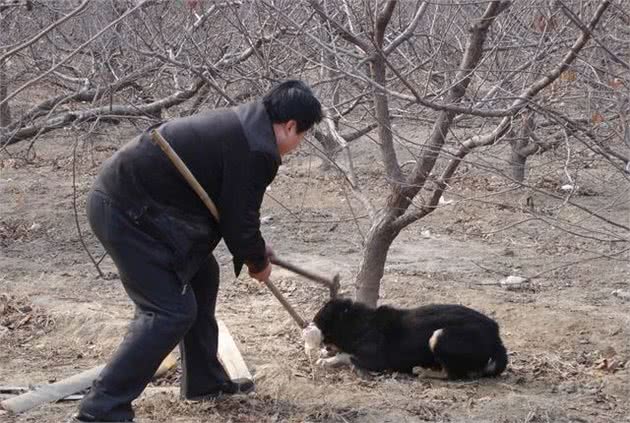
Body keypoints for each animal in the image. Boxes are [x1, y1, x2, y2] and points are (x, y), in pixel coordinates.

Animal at [314, 298, 512, 380]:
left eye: (320, 323)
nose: (310, 324)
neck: (359, 324)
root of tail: (497, 339)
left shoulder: (377, 360)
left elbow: (347, 355)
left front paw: (327, 360)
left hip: (439, 336)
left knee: (453, 375)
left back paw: (424, 371)